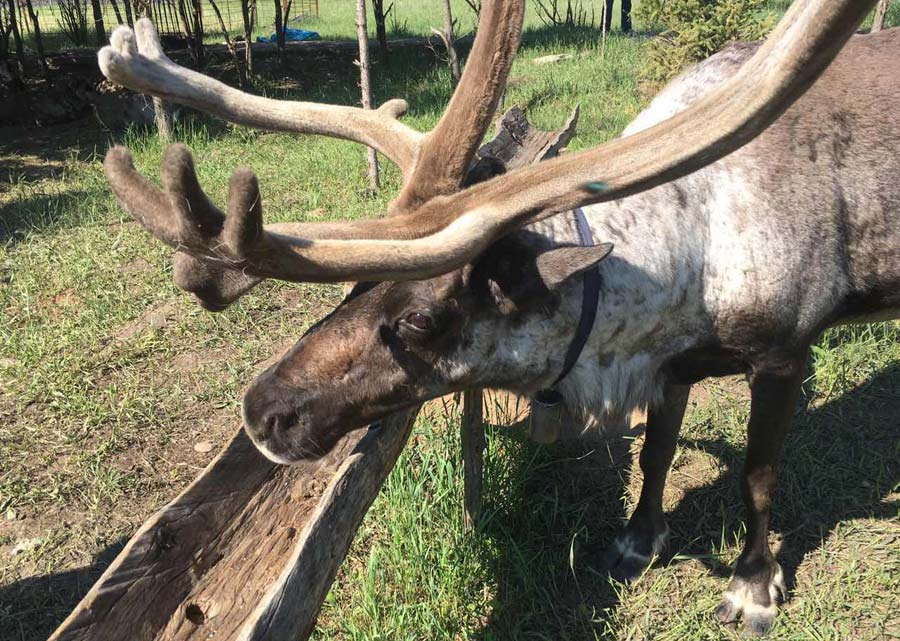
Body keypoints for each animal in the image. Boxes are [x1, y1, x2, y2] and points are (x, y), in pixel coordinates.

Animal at [96, 0, 896, 635]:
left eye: (420, 319)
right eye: (356, 284)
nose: (260, 409)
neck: (692, 253)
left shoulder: (784, 350)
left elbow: (758, 475)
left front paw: (753, 587)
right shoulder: (673, 363)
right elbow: (656, 452)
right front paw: (638, 540)